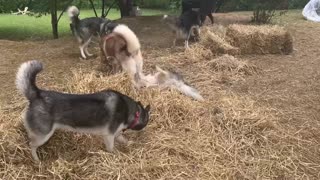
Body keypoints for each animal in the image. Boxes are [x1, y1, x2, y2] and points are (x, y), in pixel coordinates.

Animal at [16, 60, 152, 162]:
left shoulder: (116, 134)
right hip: (43, 135)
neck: (132, 111)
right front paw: (116, 155)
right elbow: (111, 148)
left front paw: (130, 143)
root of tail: (37, 95)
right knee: (31, 145)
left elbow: (124, 140)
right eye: (146, 122)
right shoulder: (108, 136)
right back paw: (36, 160)